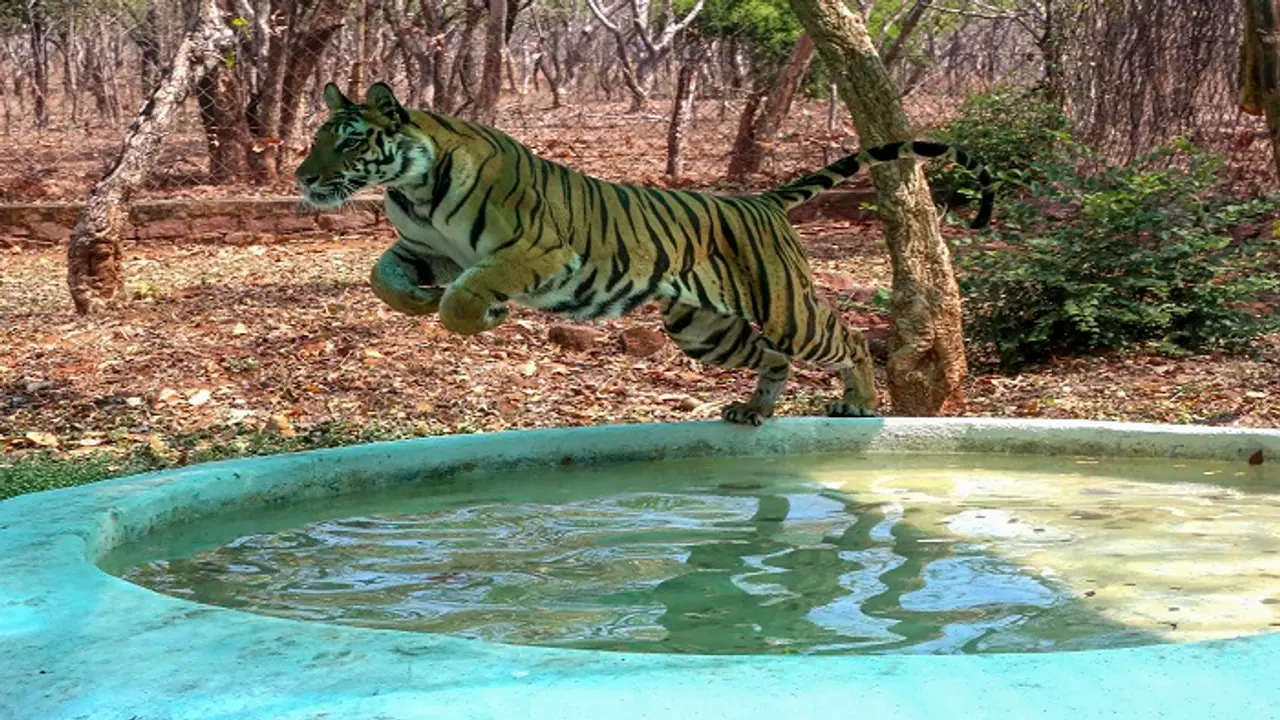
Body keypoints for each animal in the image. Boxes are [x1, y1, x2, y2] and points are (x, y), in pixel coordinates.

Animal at [295, 82, 994, 425]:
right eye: (317, 138)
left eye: (350, 141)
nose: (302, 178)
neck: (413, 189)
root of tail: (762, 200)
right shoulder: (424, 247)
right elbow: (381, 276)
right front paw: (414, 301)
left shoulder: (539, 251)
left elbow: (468, 295)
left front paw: (480, 313)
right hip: (704, 330)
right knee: (771, 358)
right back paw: (753, 410)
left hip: (787, 308)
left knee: (845, 339)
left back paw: (861, 404)